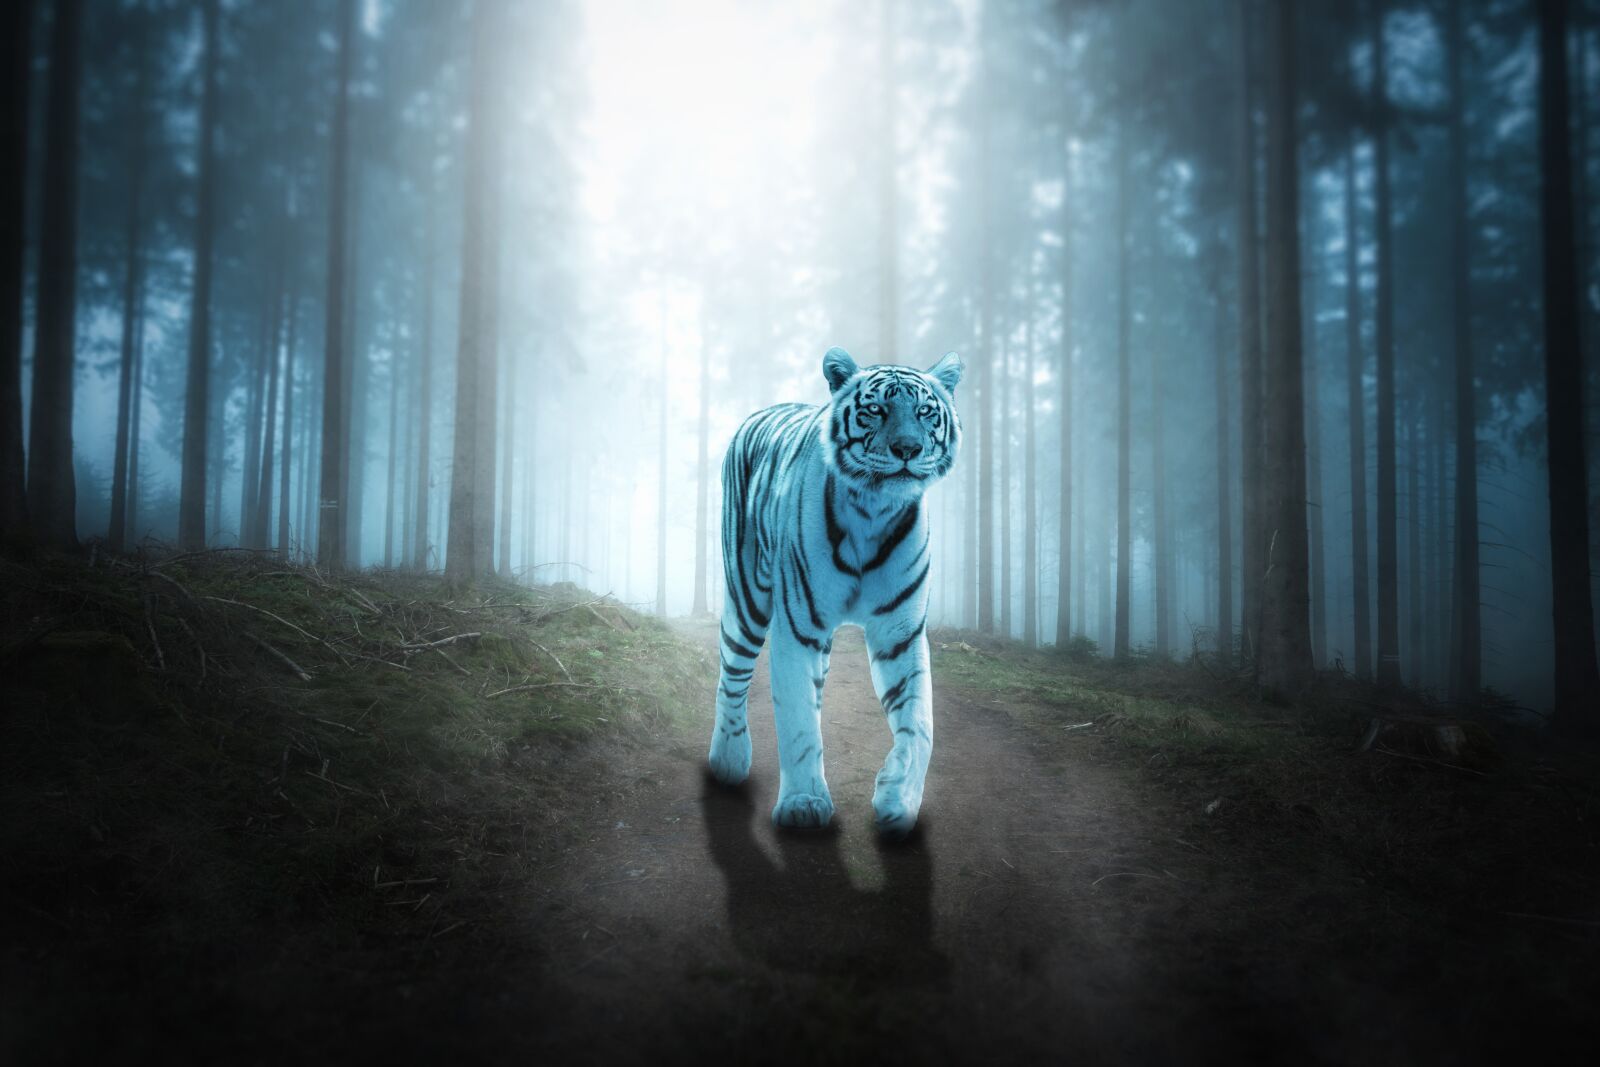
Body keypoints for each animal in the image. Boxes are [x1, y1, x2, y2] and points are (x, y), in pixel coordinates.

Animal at [707, 346, 964, 837]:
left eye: (925, 411)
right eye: (876, 409)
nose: (908, 449)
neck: (875, 510)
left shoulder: (901, 634)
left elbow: (920, 723)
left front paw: (897, 799)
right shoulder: (797, 627)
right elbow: (797, 719)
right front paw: (804, 805)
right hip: (747, 597)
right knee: (733, 675)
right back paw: (727, 762)